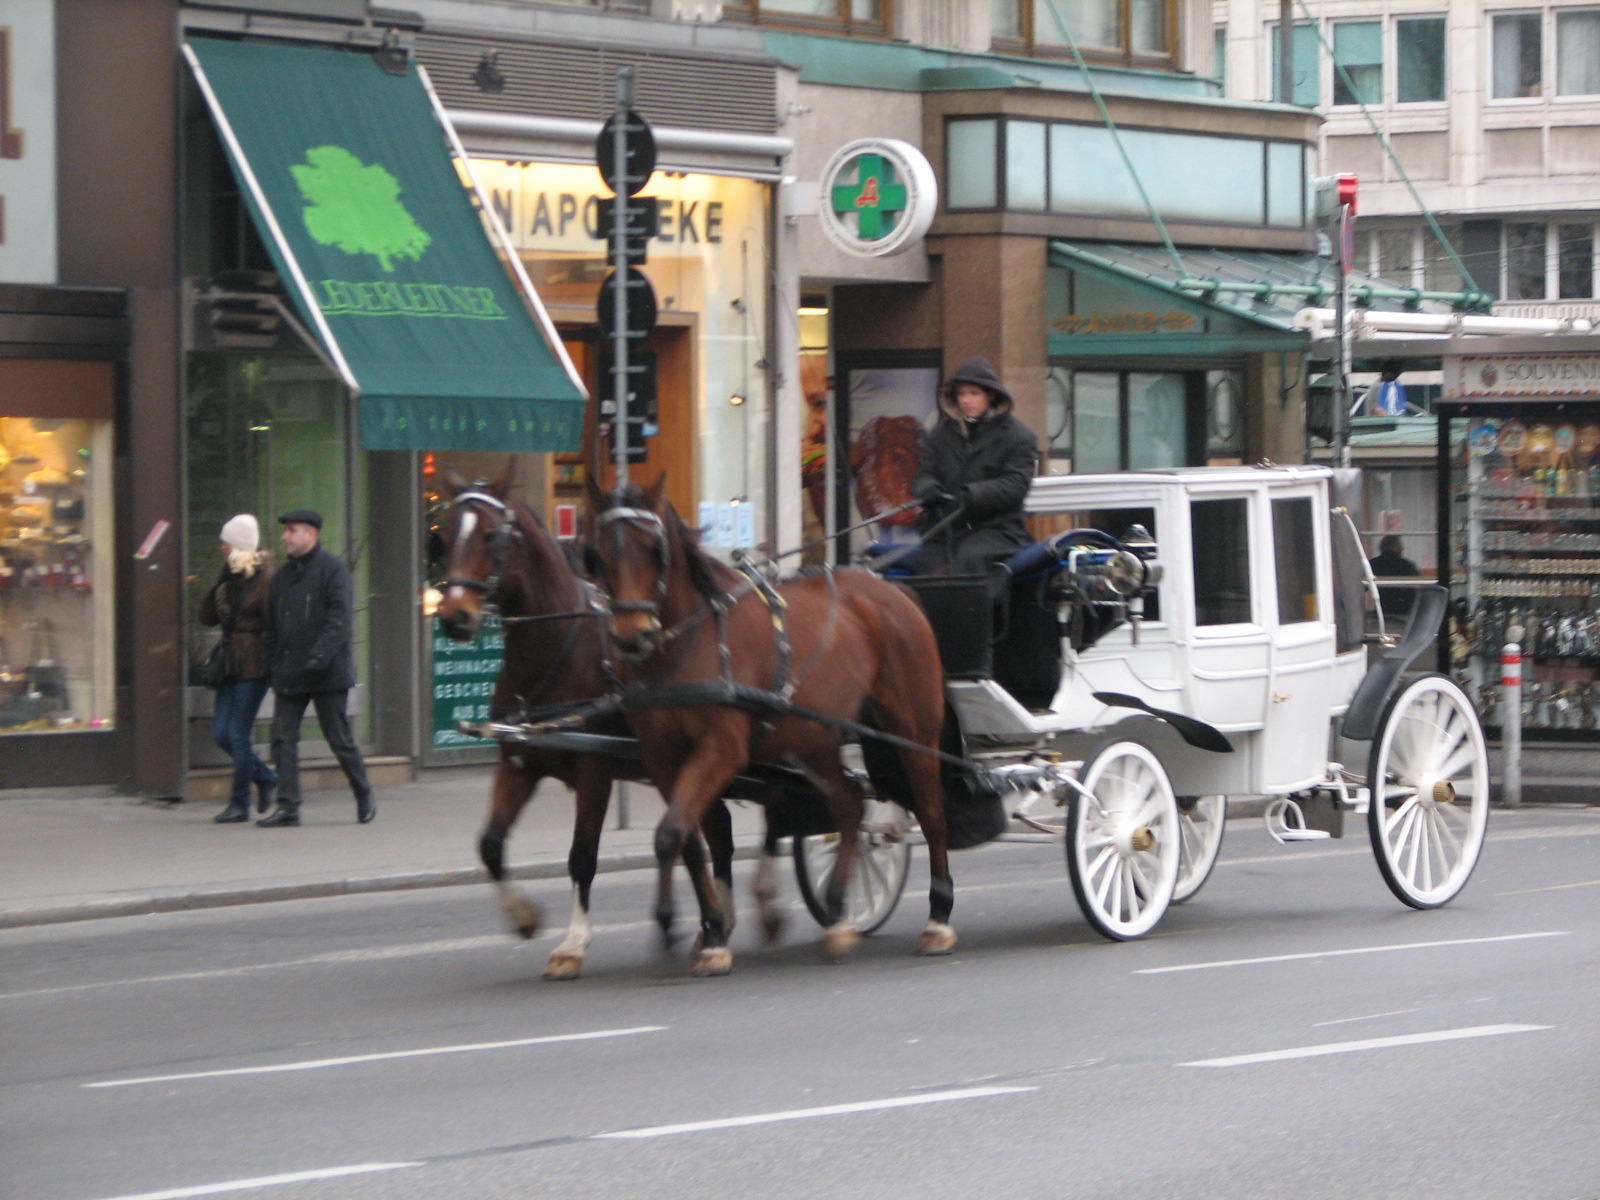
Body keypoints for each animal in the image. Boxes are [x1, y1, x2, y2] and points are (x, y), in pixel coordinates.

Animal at [435, 464, 764, 979]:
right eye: (446, 536)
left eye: (490, 535)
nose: (454, 617)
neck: (556, 650)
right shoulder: (517, 763)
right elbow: (489, 845)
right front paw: (524, 917)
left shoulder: (594, 772)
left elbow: (582, 857)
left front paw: (572, 943)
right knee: (715, 833)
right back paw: (710, 926)